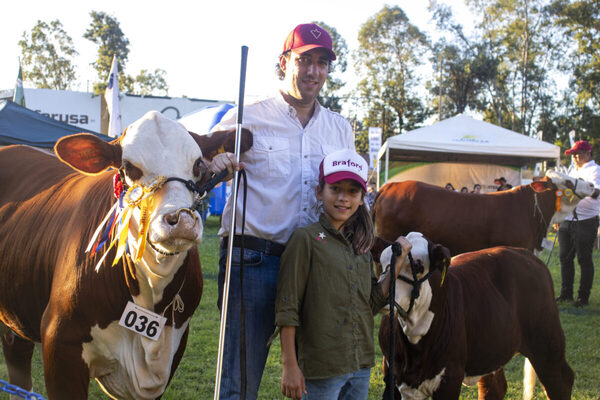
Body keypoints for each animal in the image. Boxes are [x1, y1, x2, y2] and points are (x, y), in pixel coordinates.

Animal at [380, 233, 572, 398]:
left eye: (417, 265)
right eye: (382, 263)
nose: (385, 293)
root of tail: (526, 255)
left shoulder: (450, 379)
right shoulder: (391, 376)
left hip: (547, 344)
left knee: (561, 381)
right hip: (491, 348)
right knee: (495, 387)